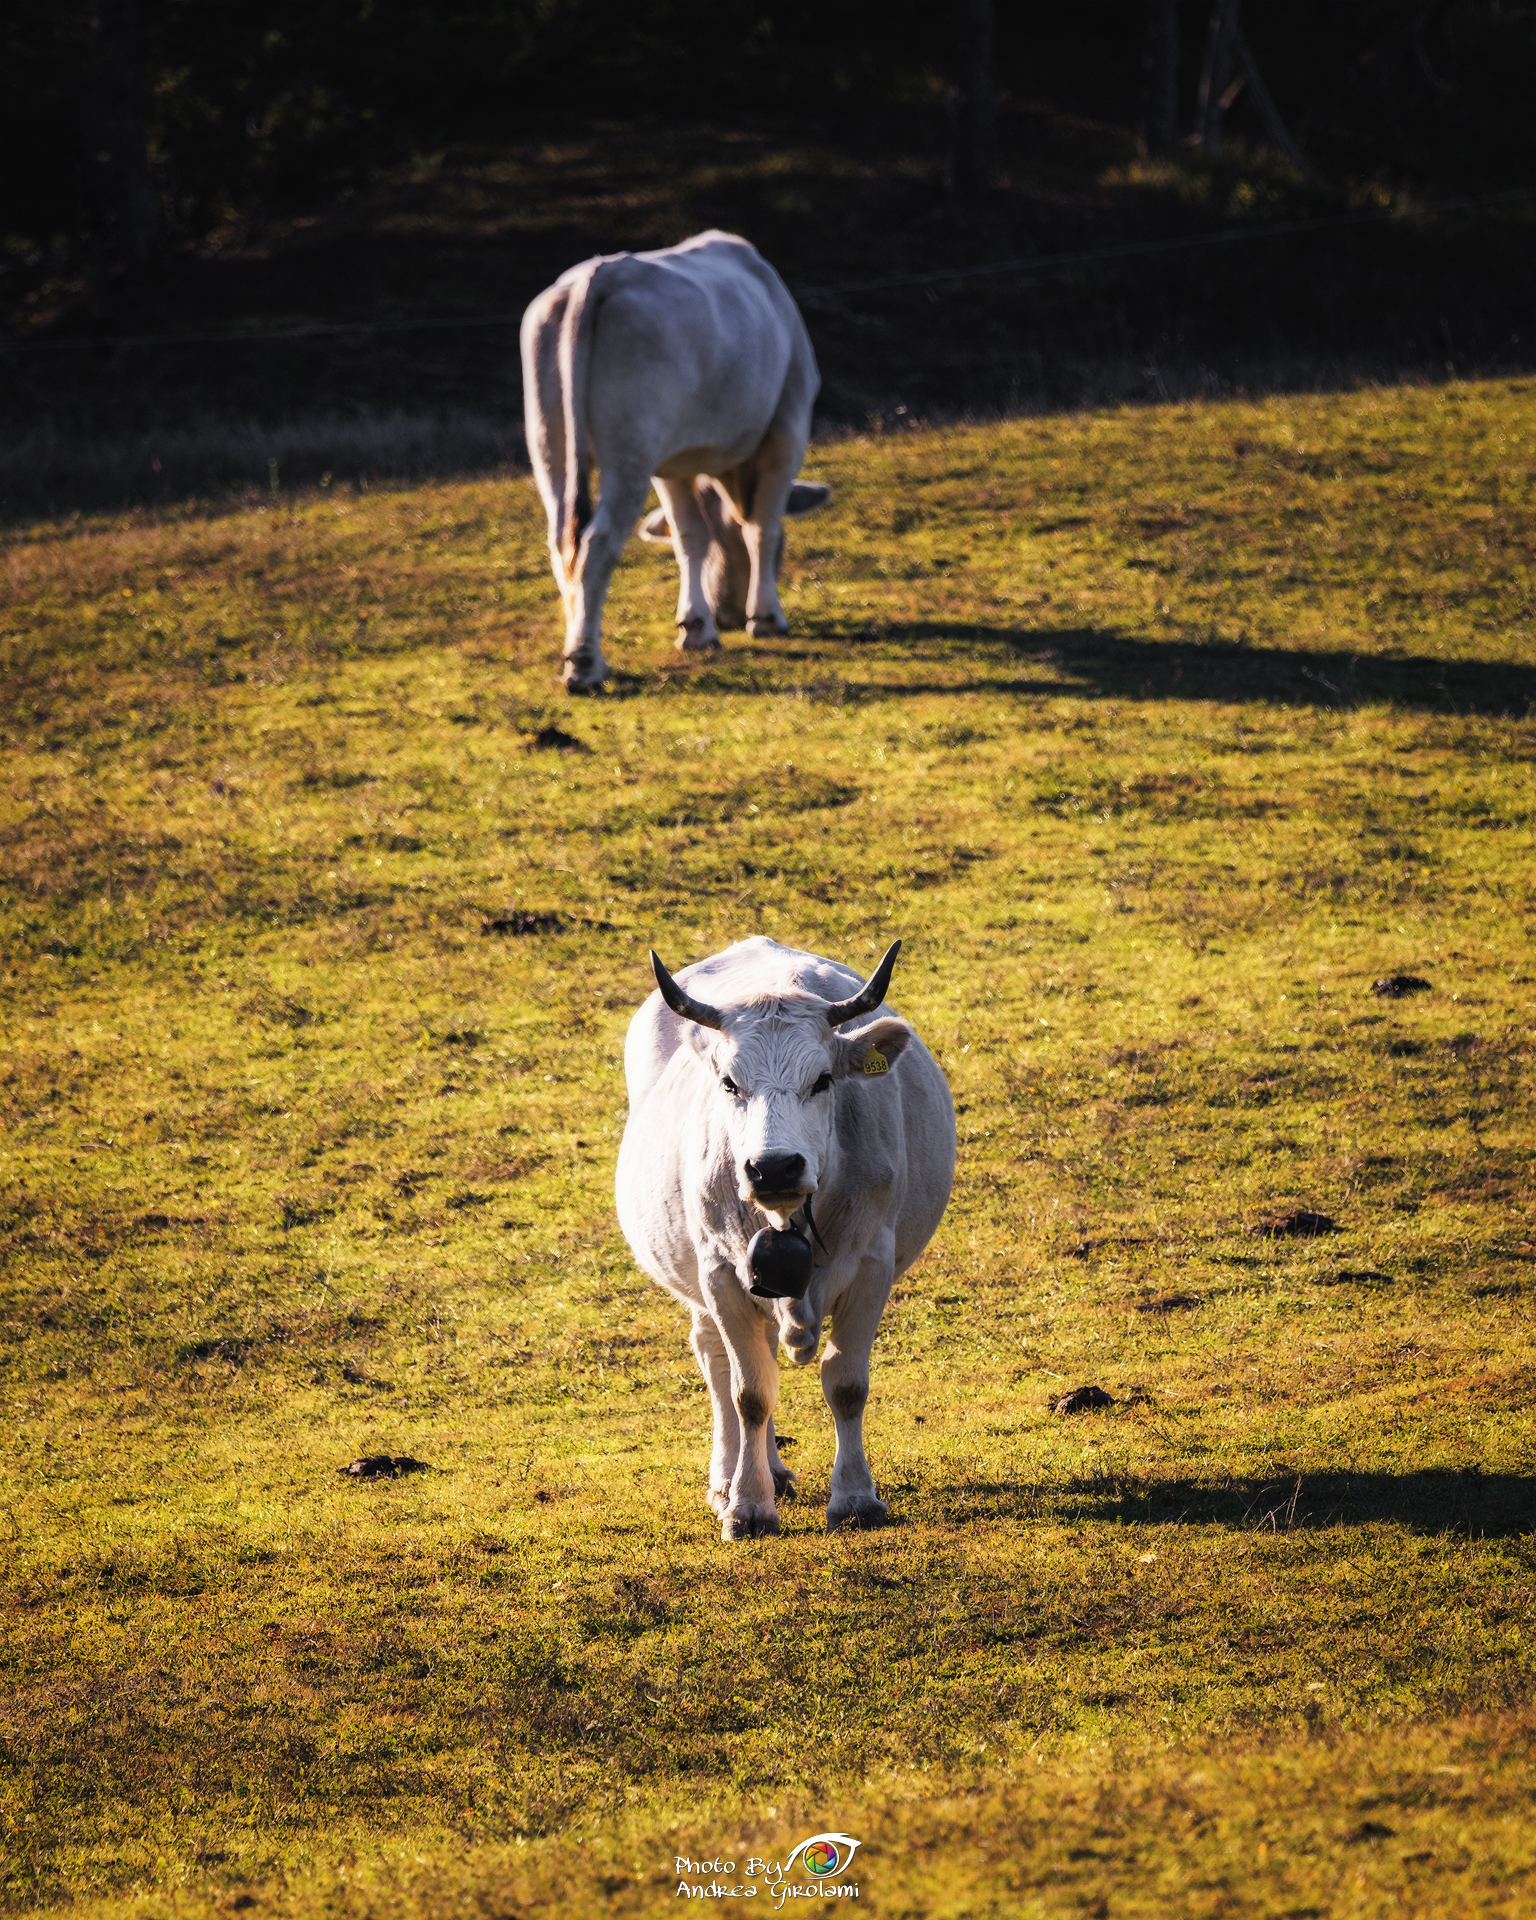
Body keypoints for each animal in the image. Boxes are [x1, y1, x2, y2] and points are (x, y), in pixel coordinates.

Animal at [519, 231, 832, 692]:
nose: (728, 613)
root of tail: (601, 273)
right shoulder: (786, 430)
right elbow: (763, 529)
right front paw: (766, 616)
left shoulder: (672, 464)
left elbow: (690, 536)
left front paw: (697, 626)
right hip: (629, 451)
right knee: (597, 542)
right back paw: (585, 665)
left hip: (549, 444)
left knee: (562, 542)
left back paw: (579, 648)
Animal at [615, 936, 956, 1541]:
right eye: (729, 1082)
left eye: (822, 1079)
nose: (773, 1166)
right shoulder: (720, 1272)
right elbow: (750, 1392)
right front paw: (748, 1507)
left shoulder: (873, 1263)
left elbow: (846, 1383)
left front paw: (856, 1498)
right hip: (696, 1279)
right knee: (718, 1361)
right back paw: (729, 1479)